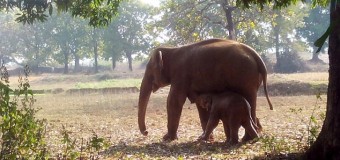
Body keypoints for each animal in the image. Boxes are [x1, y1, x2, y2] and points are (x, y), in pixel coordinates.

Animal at [137, 38, 272, 141]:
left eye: (149, 71)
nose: (146, 132)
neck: (171, 49)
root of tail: (256, 56)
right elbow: (198, 103)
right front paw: (206, 137)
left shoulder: (181, 75)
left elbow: (174, 100)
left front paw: (167, 138)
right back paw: (252, 135)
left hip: (244, 77)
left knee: (249, 99)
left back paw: (247, 138)